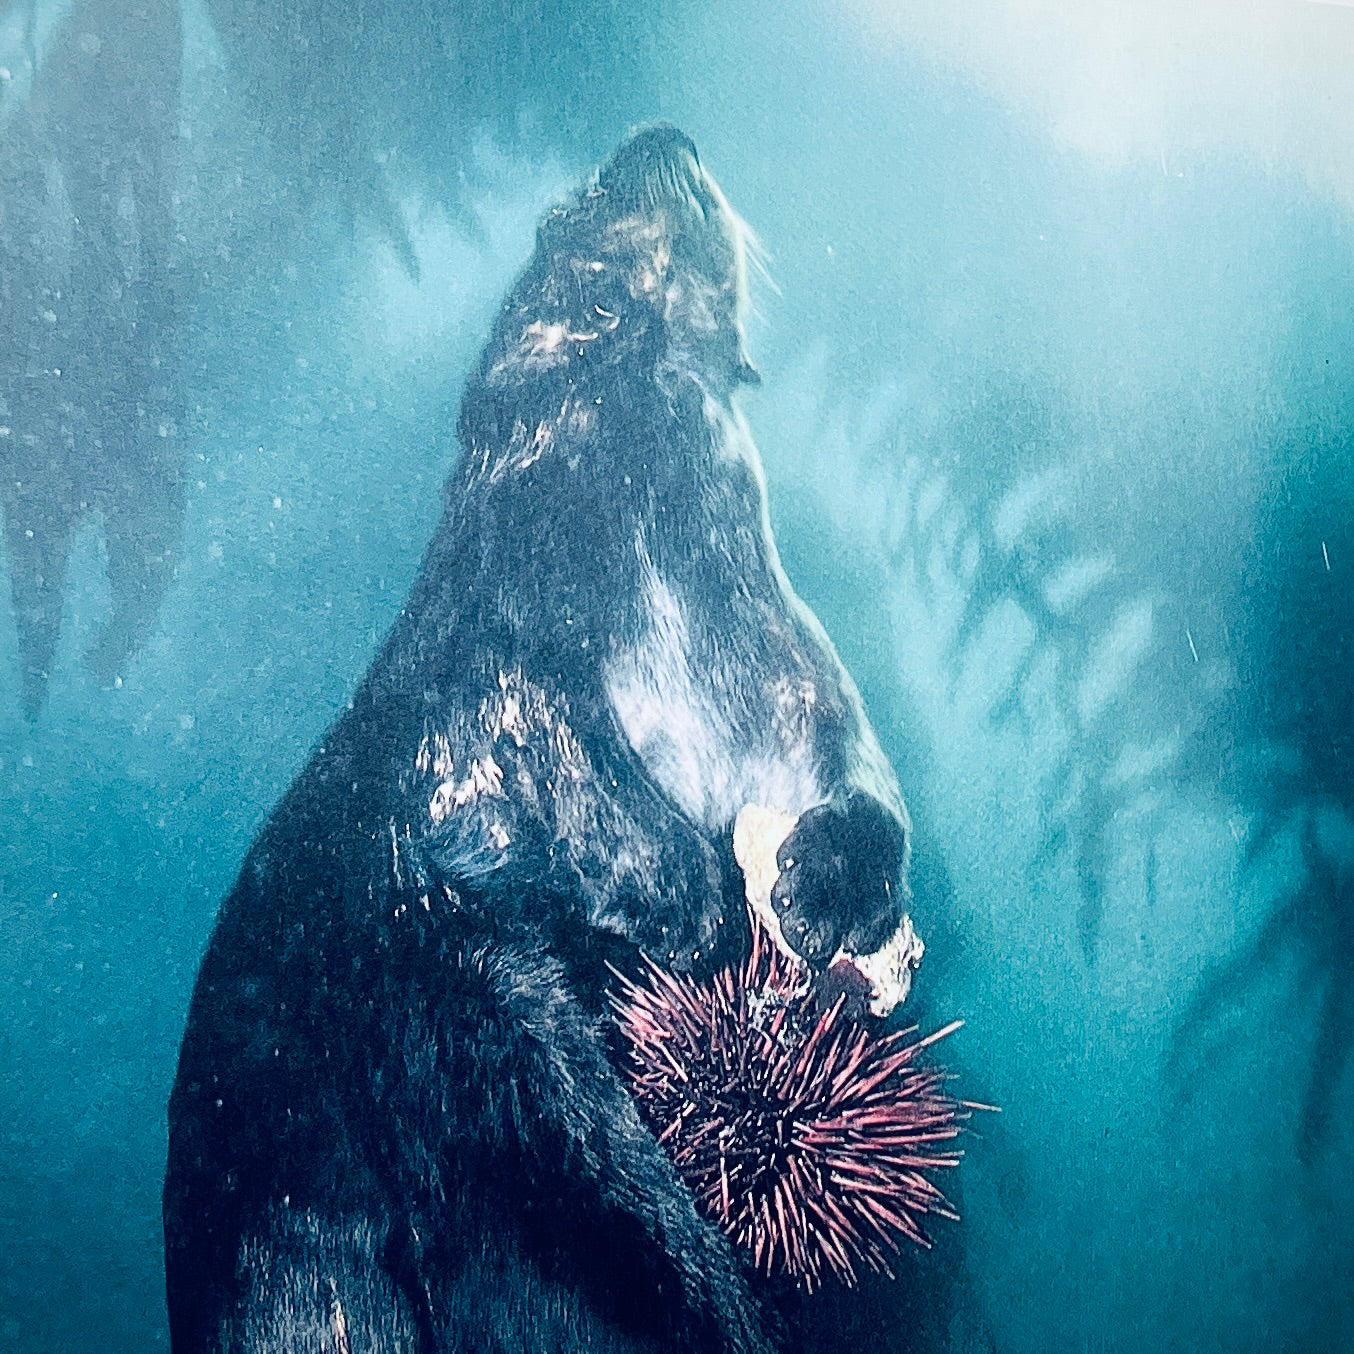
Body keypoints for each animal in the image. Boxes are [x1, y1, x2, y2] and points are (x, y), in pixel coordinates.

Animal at [164, 126, 915, 1354]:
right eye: (576, 204)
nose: (662, 137)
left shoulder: (787, 673)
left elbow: (857, 772)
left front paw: (827, 892)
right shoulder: (496, 654)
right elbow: (519, 766)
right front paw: (692, 904)